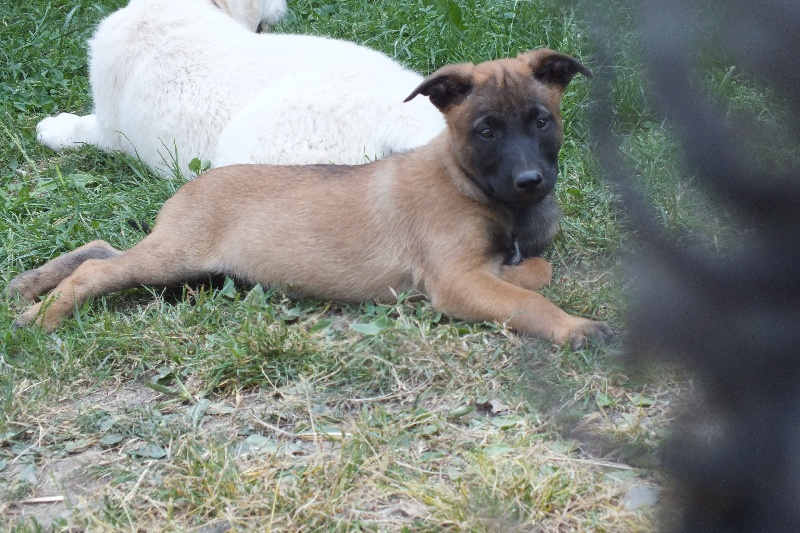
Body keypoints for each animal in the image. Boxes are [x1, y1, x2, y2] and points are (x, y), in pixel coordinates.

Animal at [6, 48, 612, 350]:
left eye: (541, 121)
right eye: (486, 131)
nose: (532, 180)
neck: (474, 186)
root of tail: (193, 184)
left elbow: (537, 269)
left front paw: (521, 269)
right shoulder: (455, 280)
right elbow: (530, 296)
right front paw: (573, 326)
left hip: (186, 266)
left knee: (102, 249)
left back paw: (28, 287)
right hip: (177, 255)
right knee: (97, 269)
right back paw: (43, 315)